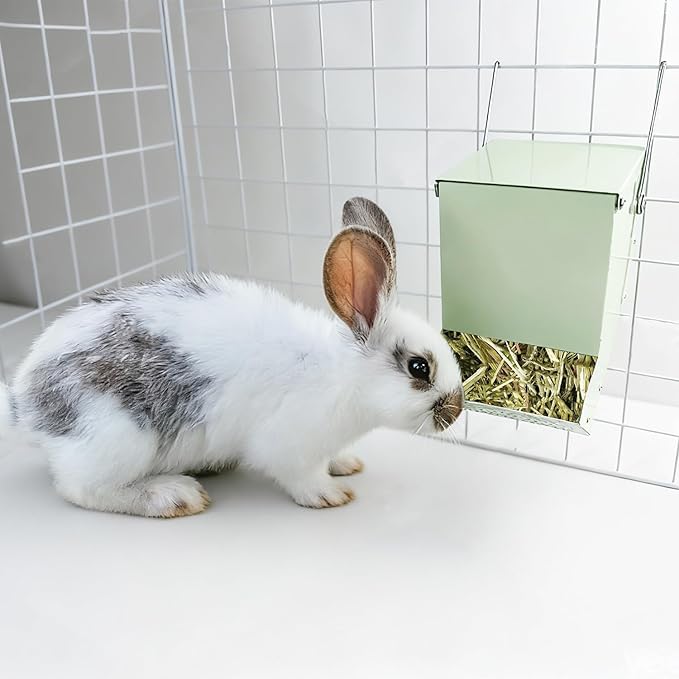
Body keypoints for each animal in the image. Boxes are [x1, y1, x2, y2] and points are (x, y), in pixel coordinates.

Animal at [0, 197, 463, 518]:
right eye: (419, 367)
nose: (456, 411)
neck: (344, 375)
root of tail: (24, 401)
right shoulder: (290, 444)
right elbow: (301, 476)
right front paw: (332, 495)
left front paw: (346, 465)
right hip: (114, 438)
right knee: (81, 489)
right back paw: (173, 495)